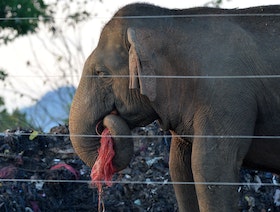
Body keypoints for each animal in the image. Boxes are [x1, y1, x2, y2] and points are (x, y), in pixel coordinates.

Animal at [69, 3, 280, 212]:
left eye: (100, 73)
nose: (105, 122)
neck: (173, 17)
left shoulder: (225, 97)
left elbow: (210, 167)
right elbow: (179, 166)